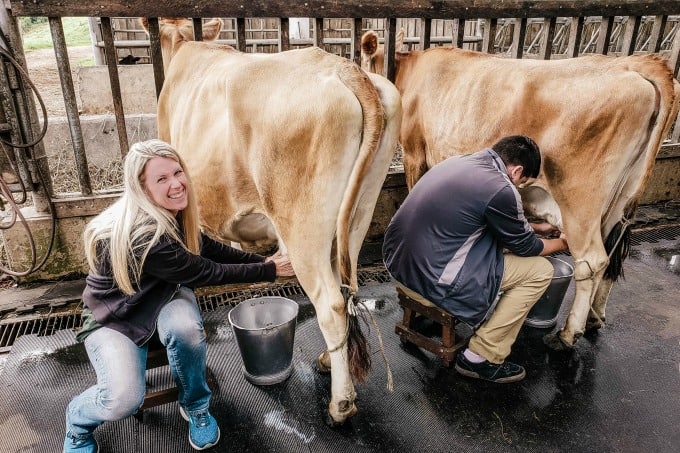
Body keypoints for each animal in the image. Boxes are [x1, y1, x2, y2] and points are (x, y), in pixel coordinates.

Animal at [141, 18, 402, 424]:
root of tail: (344, 67)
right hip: (356, 216)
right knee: (347, 288)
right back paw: (328, 360)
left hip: (303, 228)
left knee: (330, 304)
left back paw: (340, 403)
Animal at [362, 30, 680, 350]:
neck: (409, 70)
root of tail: (630, 64)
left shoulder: (415, 154)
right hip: (620, 200)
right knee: (611, 255)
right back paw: (593, 318)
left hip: (580, 201)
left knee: (592, 260)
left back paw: (568, 333)